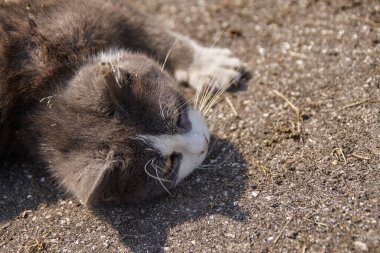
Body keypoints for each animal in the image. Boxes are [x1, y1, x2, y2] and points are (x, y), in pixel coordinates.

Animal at [0, 0, 243, 206]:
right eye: (168, 164)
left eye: (177, 117)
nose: (204, 144)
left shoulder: (68, 17)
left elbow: (142, 26)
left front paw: (209, 64)